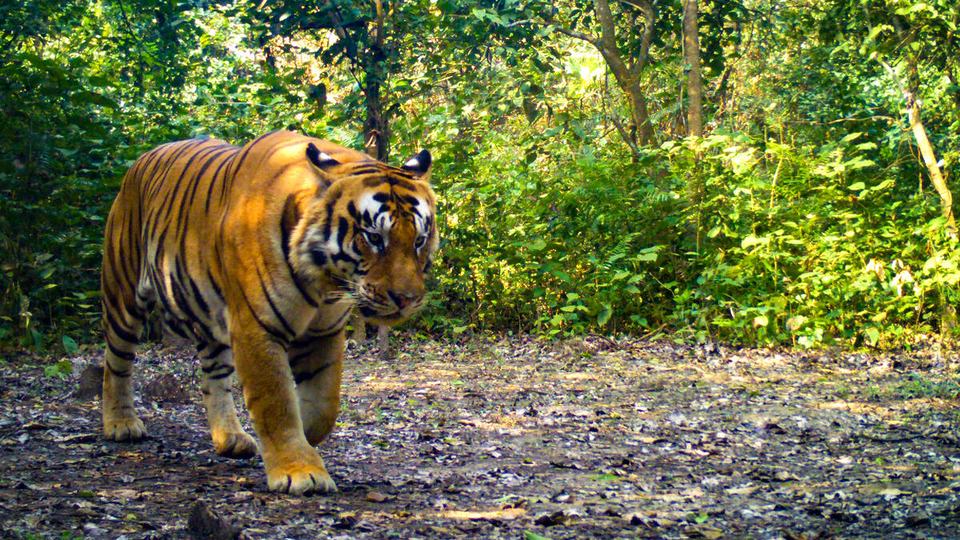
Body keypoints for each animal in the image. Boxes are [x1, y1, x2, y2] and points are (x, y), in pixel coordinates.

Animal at [99, 130, 437, 494]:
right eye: (374, 237)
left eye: (419, 240)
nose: (407, 298)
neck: (325, 281)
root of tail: (141, 160)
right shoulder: (257, 327)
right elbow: (276, 401)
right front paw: (299, 469)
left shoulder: (324, 332)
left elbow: (323, 405)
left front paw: (300, 442)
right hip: (123, 294)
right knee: (116, 362)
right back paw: (121, 423)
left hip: (212, 322)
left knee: (214, 377)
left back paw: (230, 438)